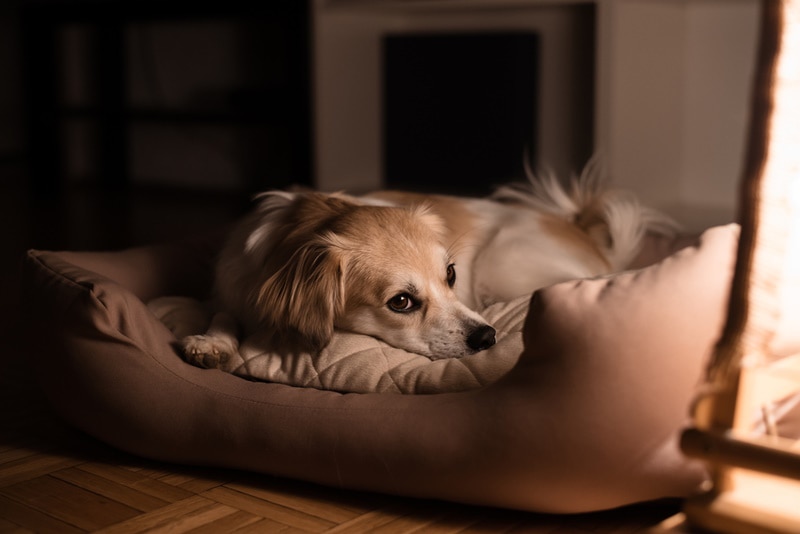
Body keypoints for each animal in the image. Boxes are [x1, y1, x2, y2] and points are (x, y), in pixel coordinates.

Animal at [181, 161, 676, 366]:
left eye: (451, 274)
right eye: (401, 302)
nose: (488, 337)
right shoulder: (231, 289)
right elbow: (221, 313)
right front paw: (211, 342)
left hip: (505, 261)